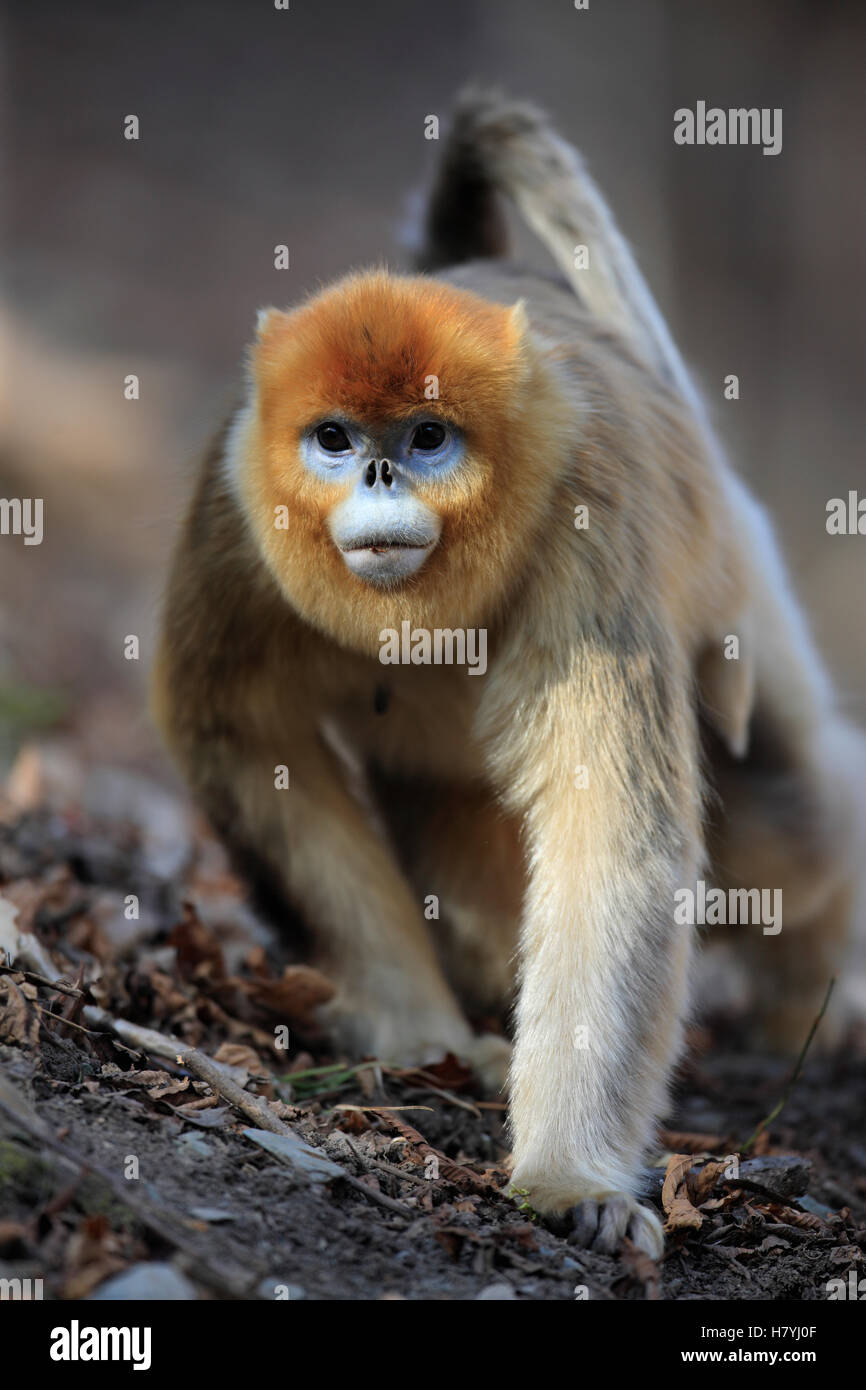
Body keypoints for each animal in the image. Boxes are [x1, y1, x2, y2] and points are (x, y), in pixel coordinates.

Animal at [152, 91, 865, 1258]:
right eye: (335, 438)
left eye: (427, 437)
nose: (379, 473)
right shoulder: (231, 505)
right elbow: (244, 737)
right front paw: (415, 1035)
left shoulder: (592, 515)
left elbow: (610, 844)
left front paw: (566, 1179)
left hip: (741, 596)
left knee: (791, 832)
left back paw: (813, 993)